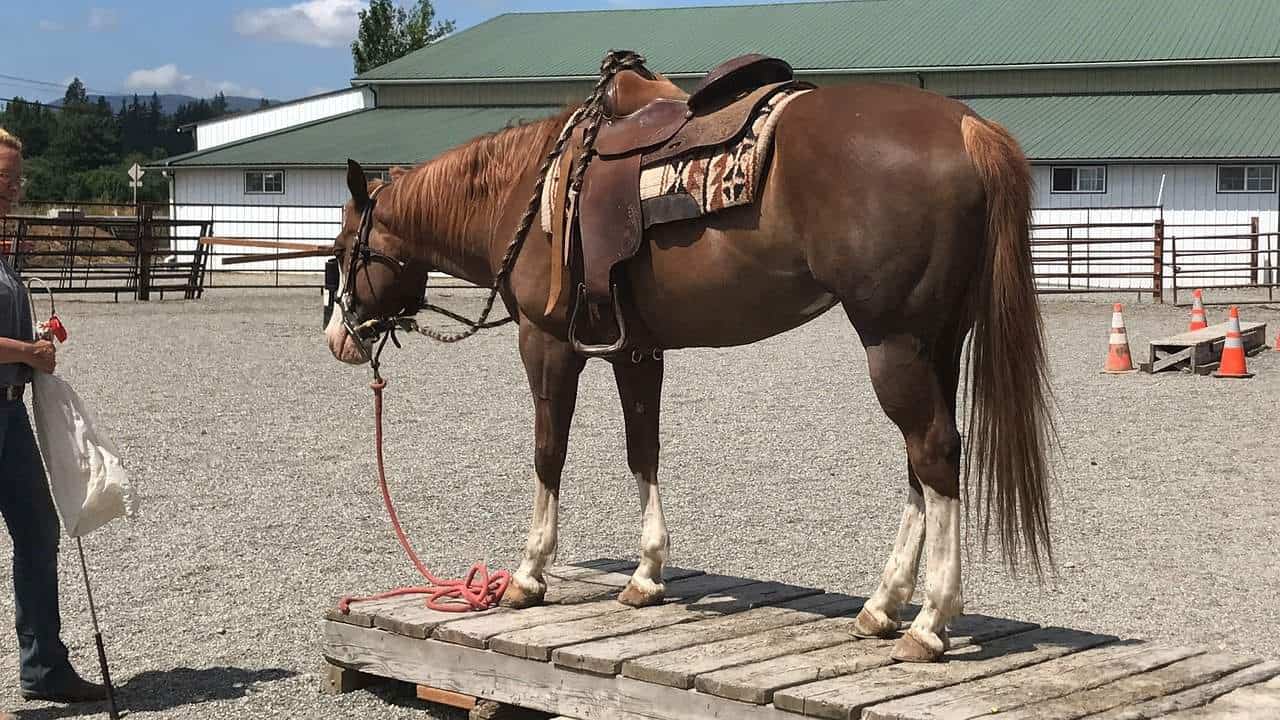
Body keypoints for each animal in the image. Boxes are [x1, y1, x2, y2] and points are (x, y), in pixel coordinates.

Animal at [323, 68, 1054, 664]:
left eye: (343, 248)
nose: (337, 337)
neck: (528, 191)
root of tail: (965, 126)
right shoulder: (634, 350)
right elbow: (642, 449)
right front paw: (646, 575)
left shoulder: (546, 343)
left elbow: (548, 452)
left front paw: (528, 575)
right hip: (936, 344)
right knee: (922, 465)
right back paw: (882, 607)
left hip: (893, 342)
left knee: (933, 453)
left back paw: (929, 623)